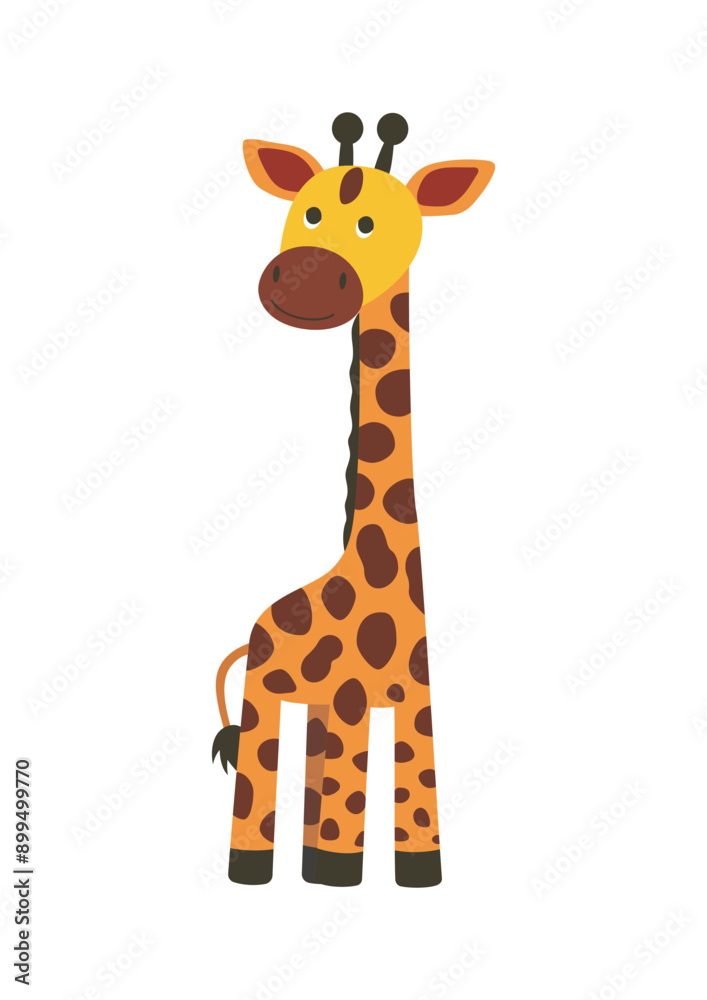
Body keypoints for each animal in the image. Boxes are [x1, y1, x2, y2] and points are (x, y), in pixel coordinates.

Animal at [212, 113, 494, 887]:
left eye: (373, 223)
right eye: (307, 212)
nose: (302, 279)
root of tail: (254, 627)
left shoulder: (412, 707)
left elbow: (412, 797)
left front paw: (416, 874)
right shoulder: (346, 704)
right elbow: (342, 803)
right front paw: (334, 873)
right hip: (268, 696)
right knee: (263, 771)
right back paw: (252, 870)